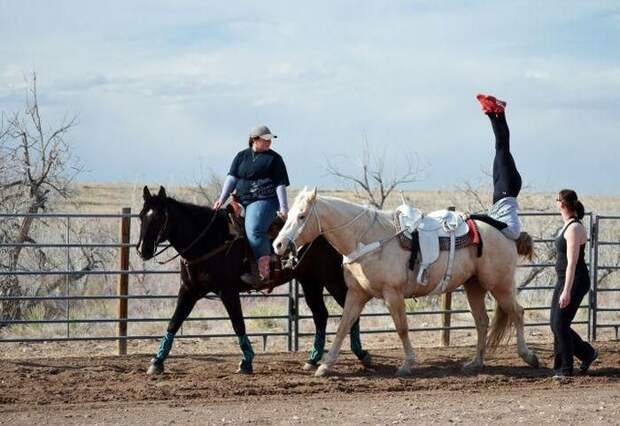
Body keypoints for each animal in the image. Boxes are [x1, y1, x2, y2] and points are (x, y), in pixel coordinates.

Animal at [274, 188, 540, 378]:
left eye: (301, 216)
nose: (278, 244)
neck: (368, 238)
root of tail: (505, 231)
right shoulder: (356, 294)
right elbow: (343, 327)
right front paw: (324, 366)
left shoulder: (393, 294)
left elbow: (401, 327)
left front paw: (407, 363)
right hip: (474, 286)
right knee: (482, 321)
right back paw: (475, 363)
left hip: (500, 285)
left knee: (517, 312)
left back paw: (528, 356)